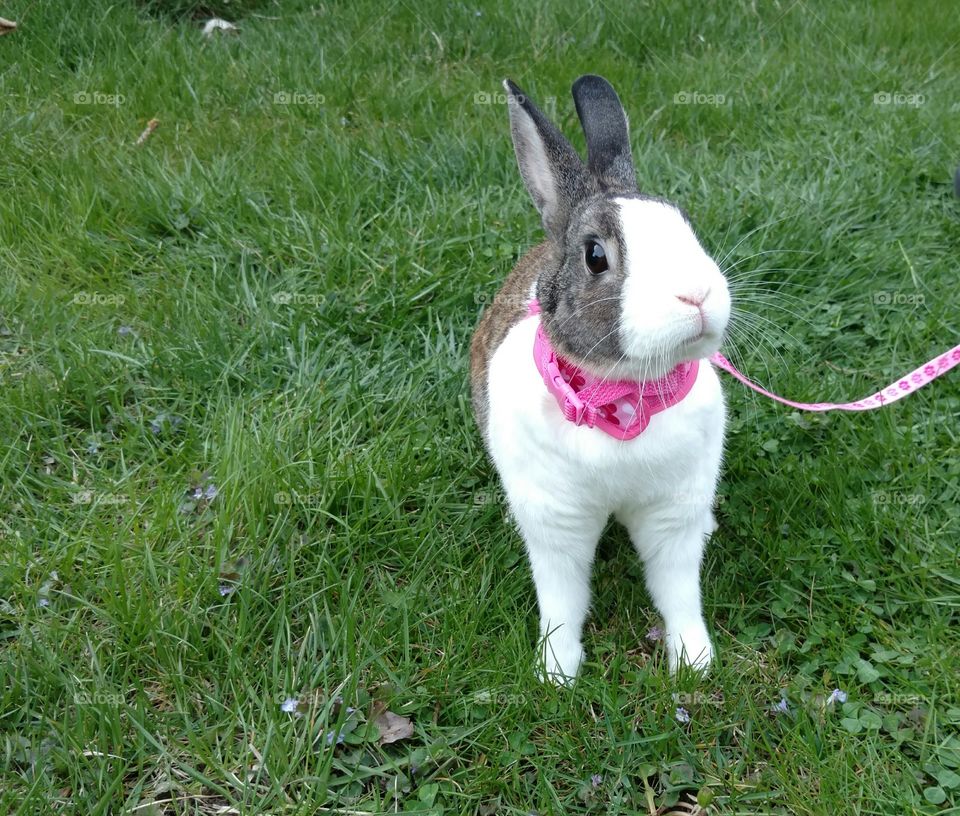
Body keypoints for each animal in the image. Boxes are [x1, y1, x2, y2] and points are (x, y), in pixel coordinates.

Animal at [469, 75, 731, 684]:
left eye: (688, 225)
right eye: (595, 256)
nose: (697, 296)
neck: (620, 397)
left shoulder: (672, 515)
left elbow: (678, 590)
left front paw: (694, 661)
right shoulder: (556, 524)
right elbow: (561, 599)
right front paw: (556, 673)